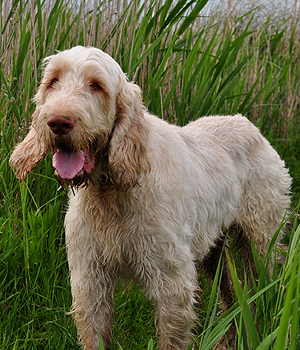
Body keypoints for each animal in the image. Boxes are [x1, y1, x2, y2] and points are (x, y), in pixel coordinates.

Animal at [10, 46, 292, 350]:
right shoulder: (90, 280)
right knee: (231, 297)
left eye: (96, 85)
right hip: (213, 252)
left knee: (261, 291)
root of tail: (248, 123)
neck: (110, 192)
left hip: (261, 244)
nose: (58, 122)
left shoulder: (172, 282)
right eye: (53, 81)